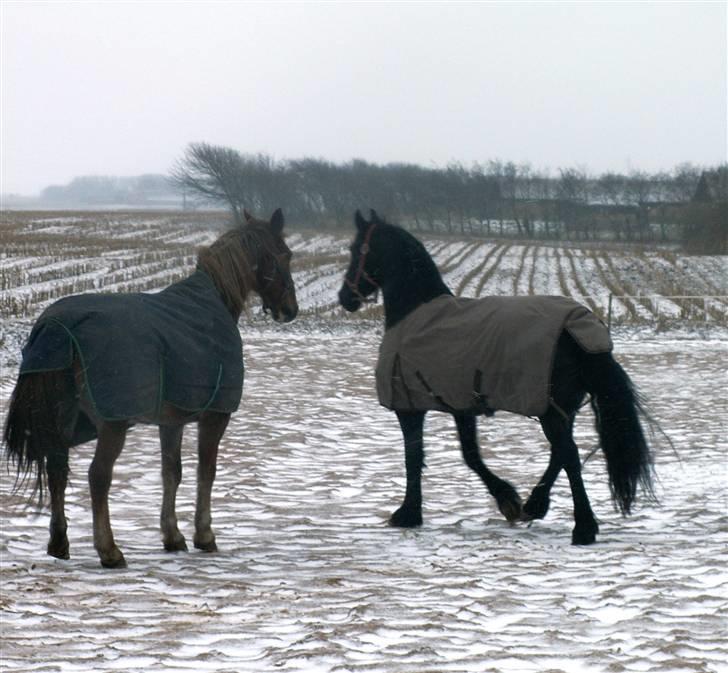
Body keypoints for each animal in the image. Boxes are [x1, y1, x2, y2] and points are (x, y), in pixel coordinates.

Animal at [3, 207, 298, 564]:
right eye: (285, 254)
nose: (290, 310)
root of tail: (56, 325)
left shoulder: (171, 421)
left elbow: (172, 471)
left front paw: (173, 536)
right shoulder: (215, 416)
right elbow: (206, 471)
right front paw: (204, 535)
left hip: (63, 420)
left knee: (57, 470)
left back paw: (59, 544)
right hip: (112, 424)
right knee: (98, 476)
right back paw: (109, 550)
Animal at [338, 211, 656, 544]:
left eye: (355, 249)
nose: (344, 297)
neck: (415, 313)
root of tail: (579, 328)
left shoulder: (410, 408)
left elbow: (414, 456)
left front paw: (408, 513)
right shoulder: (461, 406)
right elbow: (470, 455)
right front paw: (508, 499)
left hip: (550, 410)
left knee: (567, 453)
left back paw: (582, 526)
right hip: (561, 409)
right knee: (560, 453)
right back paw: (536, 505)